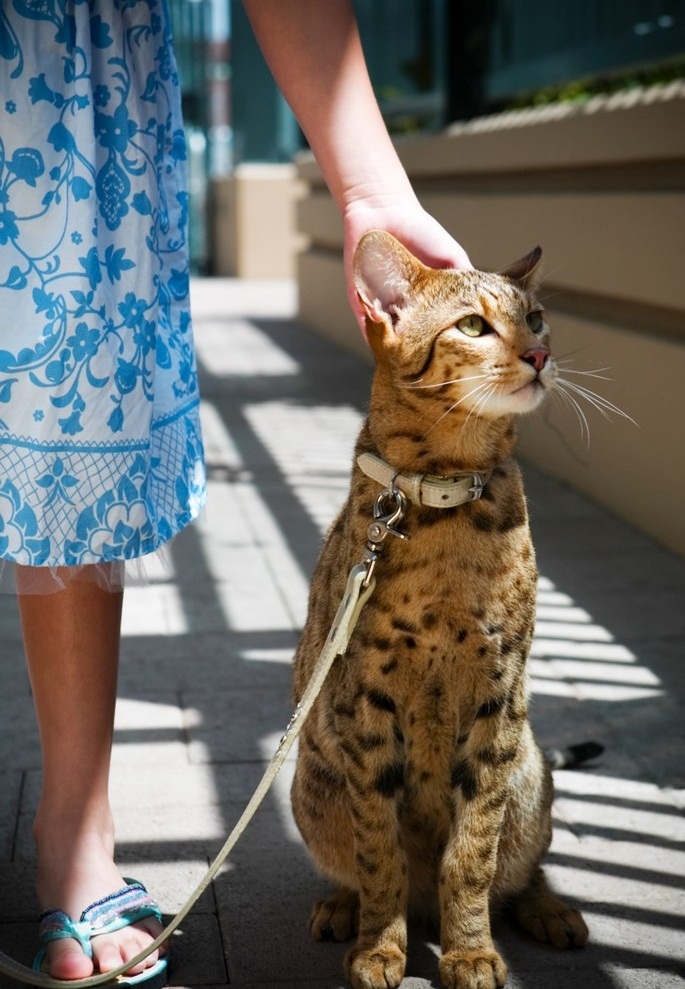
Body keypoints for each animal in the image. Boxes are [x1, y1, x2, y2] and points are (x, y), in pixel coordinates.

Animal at [288, 232, 588, 988]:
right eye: (474, 326)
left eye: (535, 318)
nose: (538, 355)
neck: (448, 492)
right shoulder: (363, 702)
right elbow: (378, 850)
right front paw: (378, 945)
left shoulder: (498, 691)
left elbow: (473, 852)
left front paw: (471, 949)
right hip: (313, 781)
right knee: (357, 862)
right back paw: (343, 907)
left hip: (528, 771)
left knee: (524, 864)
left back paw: (549, 910)